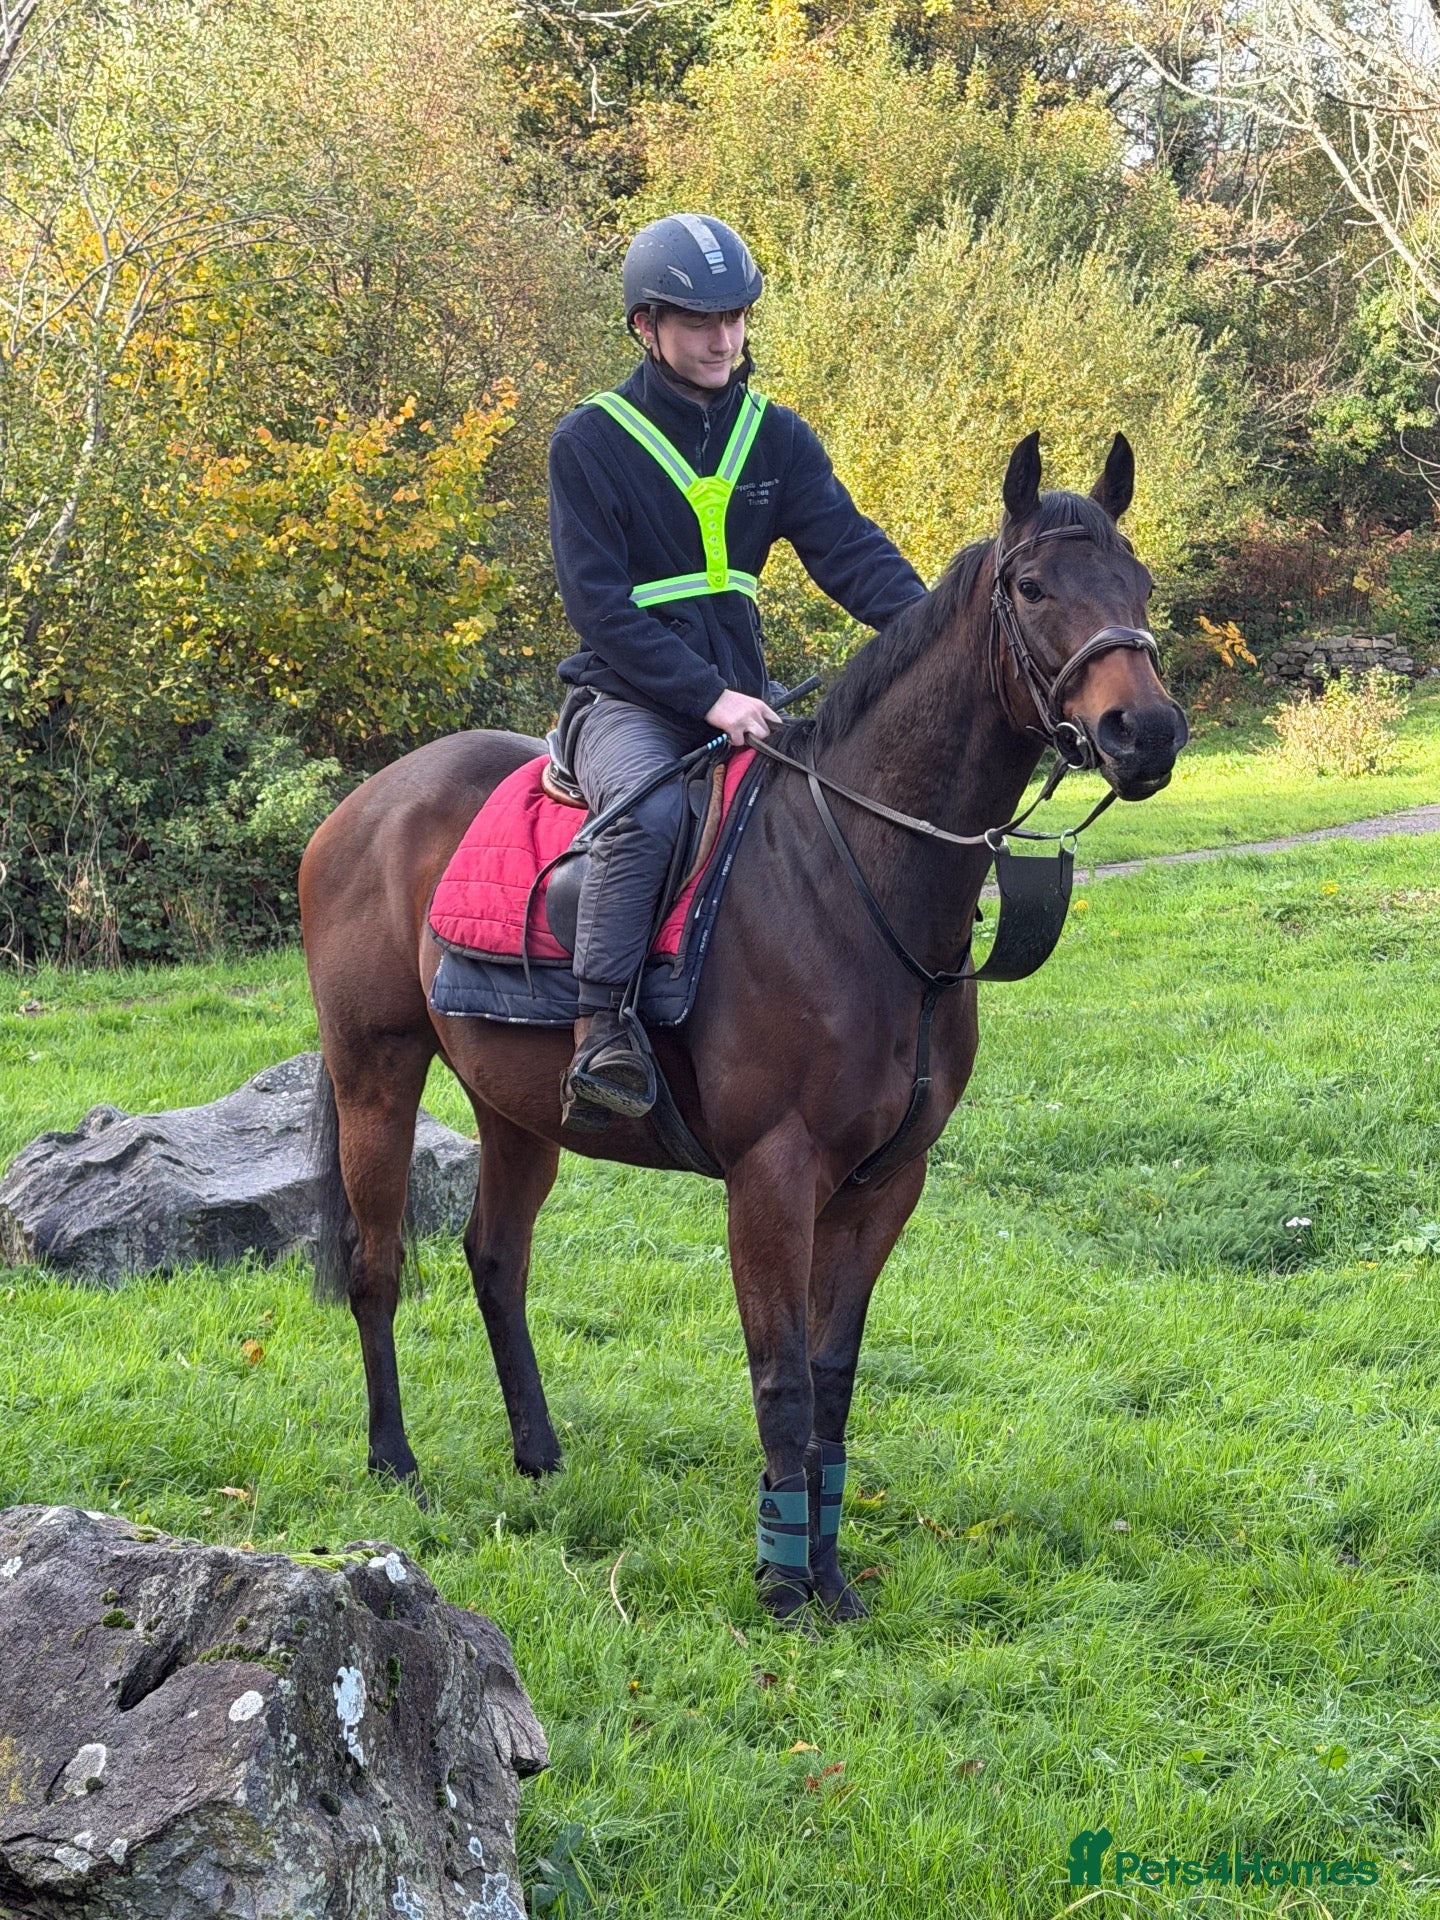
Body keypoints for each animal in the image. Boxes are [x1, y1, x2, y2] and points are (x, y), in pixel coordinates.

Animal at [299, 429, 1188, 1622]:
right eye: (1035, 586)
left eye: (1140, 585)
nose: (1146, 732)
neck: (854, 874)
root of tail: (359, 809)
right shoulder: (774, 1176)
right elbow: (778, 1374)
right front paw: (780, 1581)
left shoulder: (884, 1183)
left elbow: (832, 1379)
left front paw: (830, 1574)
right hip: (376, 1076)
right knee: (380, 1263)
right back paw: (394, 1461)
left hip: (517, 1110)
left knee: (495, 1257)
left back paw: (537, 1451)